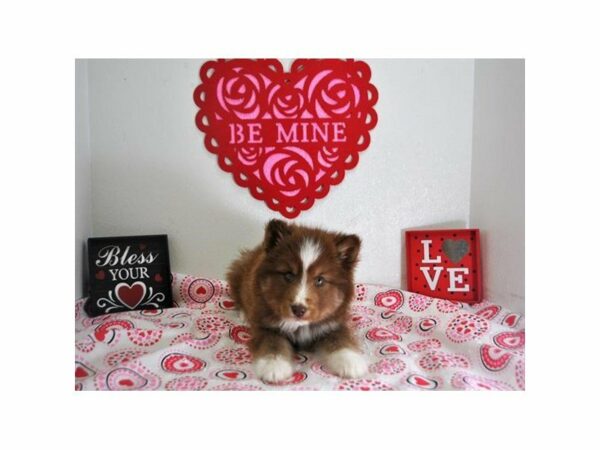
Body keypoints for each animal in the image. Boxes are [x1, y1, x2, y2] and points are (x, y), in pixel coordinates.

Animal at [225, 220, 366, 382]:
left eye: (320, 280)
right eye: (288, 275)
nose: (299, 309)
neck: (299, 326)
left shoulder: (333, 324)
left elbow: (341, 340)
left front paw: (351, 363)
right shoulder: (266, 325)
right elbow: (273, 343)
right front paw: (274, 366)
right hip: (238, 272)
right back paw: (244, 314)